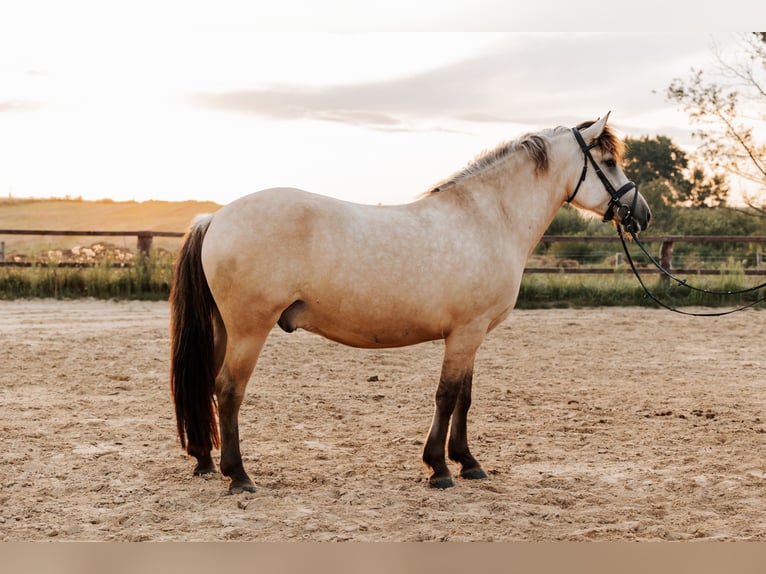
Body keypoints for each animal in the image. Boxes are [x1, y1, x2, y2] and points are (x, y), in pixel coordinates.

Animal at [171, 113, 652, 496]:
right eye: (610, 162)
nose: (641, 214)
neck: (487, 218)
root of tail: (216, 217)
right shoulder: (465, 333)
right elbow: (446, 395)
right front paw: (439, 467)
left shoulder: (470, 335)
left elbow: (465, 398)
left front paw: (468, 462)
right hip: (249, 330)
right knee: (228, 389)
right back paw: (238, 476)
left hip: (224, 329)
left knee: (207, 383)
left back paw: (205, 461)